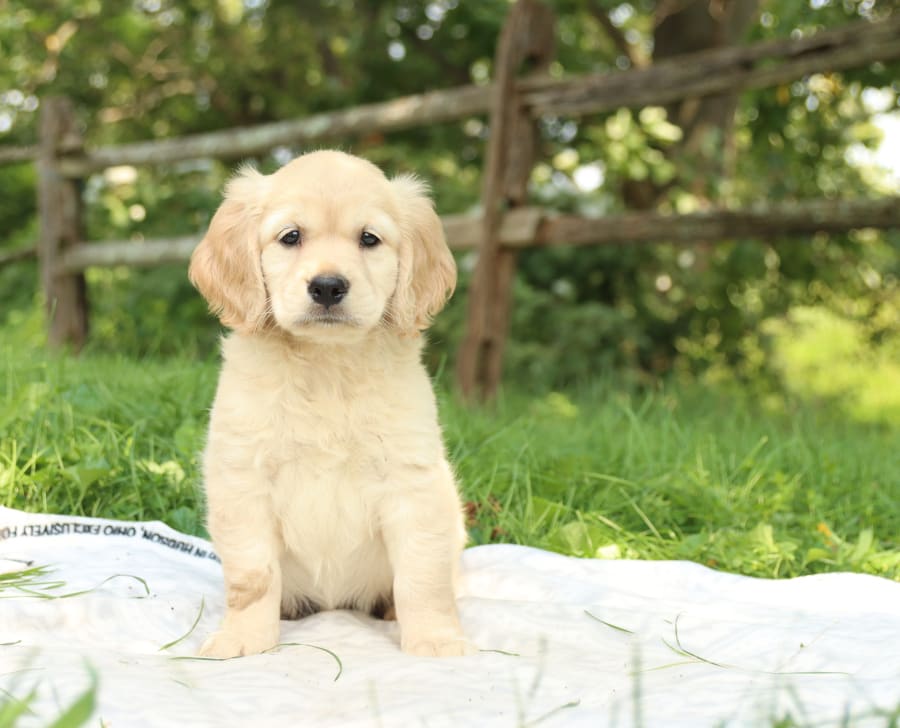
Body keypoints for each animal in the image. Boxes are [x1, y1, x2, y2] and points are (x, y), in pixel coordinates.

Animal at [187, 151, 474, 656]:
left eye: (369, 239)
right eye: (291, 237)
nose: (326, 287)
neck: (326, 368)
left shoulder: (413, 484)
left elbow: (423, 576)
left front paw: (436, 640)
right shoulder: (243, 480)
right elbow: (253, 576)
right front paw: (243, 640)